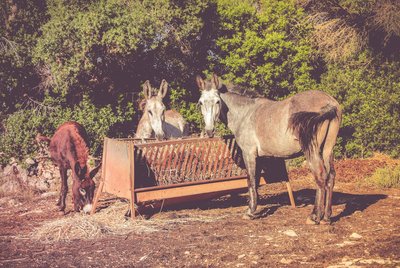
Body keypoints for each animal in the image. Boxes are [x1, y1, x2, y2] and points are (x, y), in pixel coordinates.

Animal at [195, 74, 342, 225]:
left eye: (217, 101)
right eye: (201, 102)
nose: (209, 131)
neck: (245, 113)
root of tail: (329, 102)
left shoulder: (249, 154)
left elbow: (251, 180)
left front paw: (250, 212)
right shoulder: (259, 158)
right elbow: (256, 182)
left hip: (312, 151)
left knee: (320, 177)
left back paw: (315, 216)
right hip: (327, 150)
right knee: (330, 177)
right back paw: (326, 217)